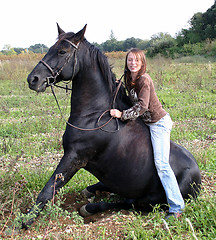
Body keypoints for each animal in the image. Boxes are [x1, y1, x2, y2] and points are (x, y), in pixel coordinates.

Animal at [24, 24, 201, 229]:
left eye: (62, 51)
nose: (33, 79)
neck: (95, 115)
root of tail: (198, 179)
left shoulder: (74, 157)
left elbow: (48, 190)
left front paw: (22, 223)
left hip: (151, 200)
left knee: (129, 202)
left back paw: (91, 207)